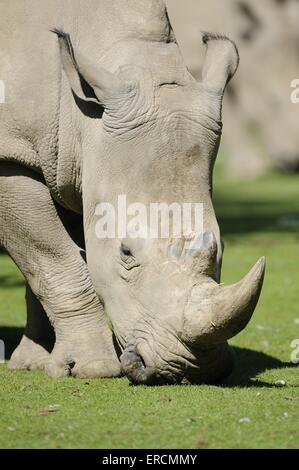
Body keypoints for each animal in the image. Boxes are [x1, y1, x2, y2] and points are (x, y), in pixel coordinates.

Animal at [0, 0, 268, 384]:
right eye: (125, 253)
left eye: (221, 248)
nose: (189, 369)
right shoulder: (9, 156)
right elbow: (54, 259)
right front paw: (91, 368)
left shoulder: (69, 162)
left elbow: (42, 265)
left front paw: (36, 363)